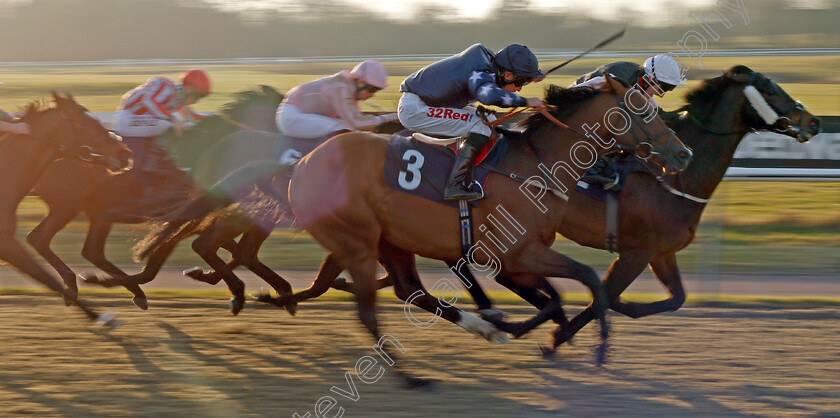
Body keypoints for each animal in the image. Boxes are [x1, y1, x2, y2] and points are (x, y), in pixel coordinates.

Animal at [27, 86, 282, 308]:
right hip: (67, 206)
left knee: (91, 251)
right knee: (39, 238)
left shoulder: (200, 219)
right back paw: (73, 286)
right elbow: (156, 267)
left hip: (98, 212)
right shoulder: (184, 219)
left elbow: (239, 252)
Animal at [282, 76, 688, 382]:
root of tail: (303, 163)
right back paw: (412, 378)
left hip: (391, 241)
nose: (683, 154)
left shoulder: (519, 258)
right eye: (644, 109)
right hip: (357, 242)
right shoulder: (516, 253)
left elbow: (558, 297)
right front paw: (598, 347)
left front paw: (538, 332)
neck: (535, 165)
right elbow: (588, 278)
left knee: (408, 290)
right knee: (370, 310)